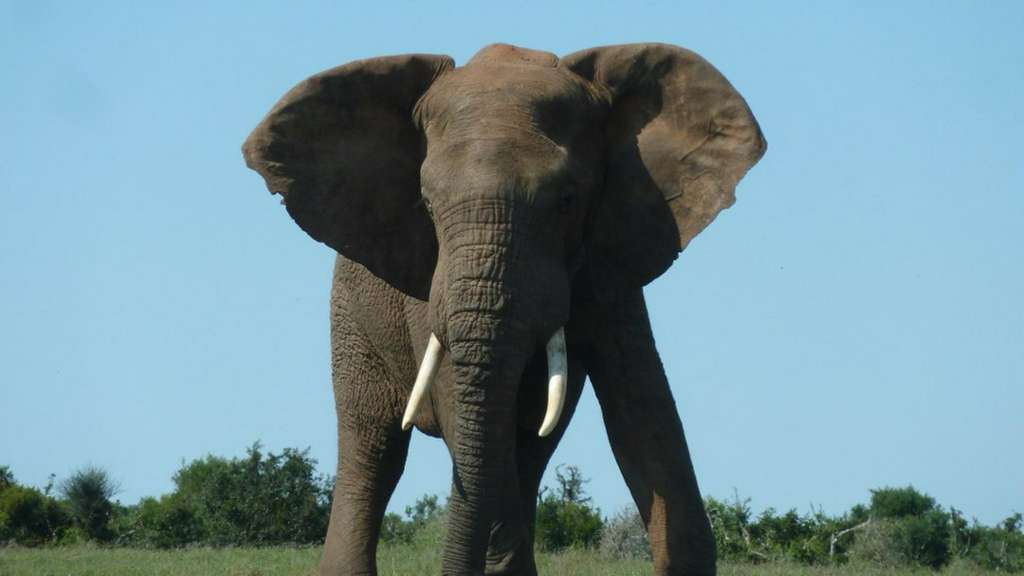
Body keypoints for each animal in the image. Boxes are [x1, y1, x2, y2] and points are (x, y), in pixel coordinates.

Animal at [242, 43, 765, 576]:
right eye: (427, 205)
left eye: (567, 200)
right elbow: (460, 411)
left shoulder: (615, 262)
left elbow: (643, 412)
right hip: (352, 314)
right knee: (374, 447)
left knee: (530, 448)